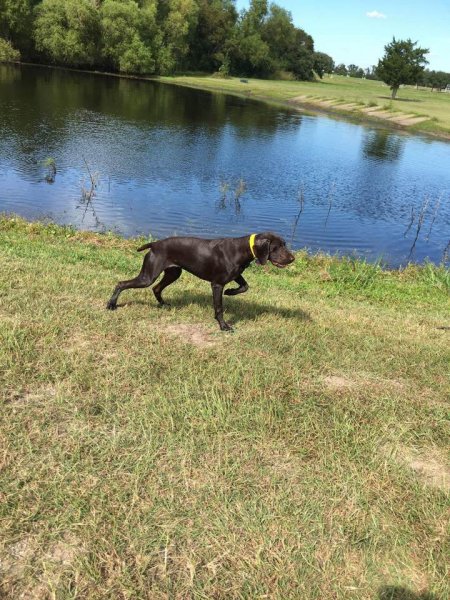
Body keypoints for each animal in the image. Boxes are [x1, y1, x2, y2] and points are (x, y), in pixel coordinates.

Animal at [107, 232, 294, 330]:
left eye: (284, 244)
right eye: (276, 247)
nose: (293, 258)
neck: (240, 250)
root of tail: (155, 244)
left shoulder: (234, 276)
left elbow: (245, 286)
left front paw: (230, 292)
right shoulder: (217, 284)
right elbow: (219, 308)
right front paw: (223, 326)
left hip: (173, 273)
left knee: (156, 288)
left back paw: (163, 304)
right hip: (148, 276)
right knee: (121, 283)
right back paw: (111, 305)